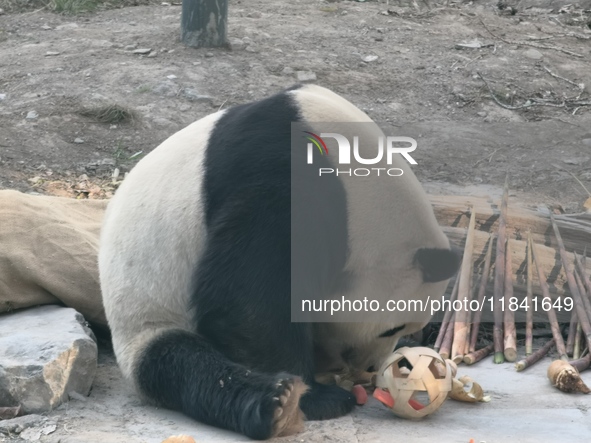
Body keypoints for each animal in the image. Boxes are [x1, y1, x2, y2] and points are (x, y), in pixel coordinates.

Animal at [98, 84, 462, 440]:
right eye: (394, 327)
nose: (372, 367)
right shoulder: (284, 181)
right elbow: (247, 300)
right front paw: (316, 396)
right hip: (146, 316)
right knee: (185, 365)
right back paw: (277, 402)